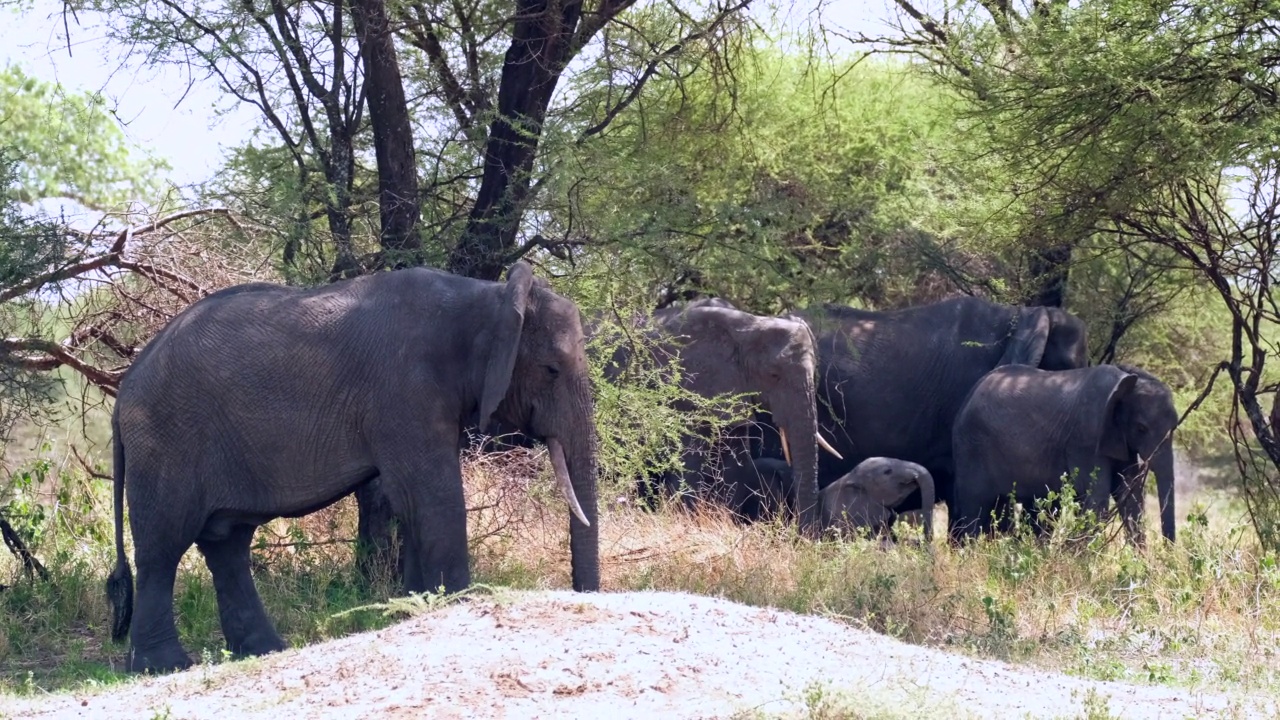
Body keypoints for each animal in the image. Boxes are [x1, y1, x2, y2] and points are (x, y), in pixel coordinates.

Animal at [106, 260, 599, 671]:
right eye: (552, 370)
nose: (584, 594)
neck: (488, 296)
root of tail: (125, 386)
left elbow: (410, 500)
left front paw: (413, 605)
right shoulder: (405, 389)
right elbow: (431, 495)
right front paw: (457, 601)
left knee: (226, 543)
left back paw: (266, 651)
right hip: (166, 440)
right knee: (164, 547)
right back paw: (165, 667)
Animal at [606, 297, 844, 532]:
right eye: (773, 375)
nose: (801, 536)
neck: (748, 326)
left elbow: (734, 462)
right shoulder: (689, 384)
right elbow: (690, 461)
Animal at [952, 361, 1177, 540]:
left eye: (1174, 427)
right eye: (1141, 428)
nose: (1168, 550)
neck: (1126, 380)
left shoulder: (1118, 440)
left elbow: (1130, 495)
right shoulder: (1085, 438)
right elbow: (1097, 497)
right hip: (971, 447)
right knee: (975, 506)